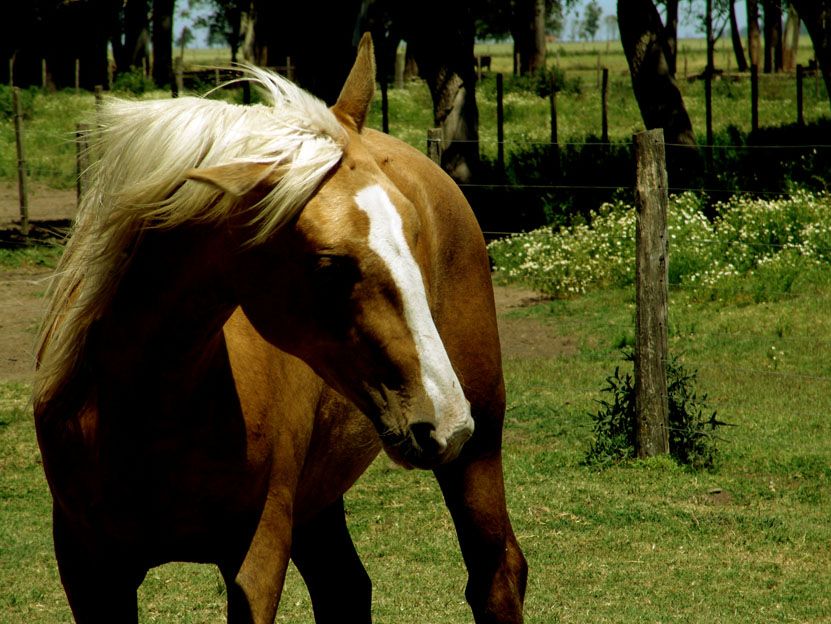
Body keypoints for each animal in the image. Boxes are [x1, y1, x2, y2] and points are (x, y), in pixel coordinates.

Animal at [34, 35, 528, 624]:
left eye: (414, 234)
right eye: (330, 266)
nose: (445, 420)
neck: (140, 408)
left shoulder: (258, 554)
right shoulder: (89, 572)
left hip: (478, 447)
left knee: (496, 575)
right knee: (346, 587)